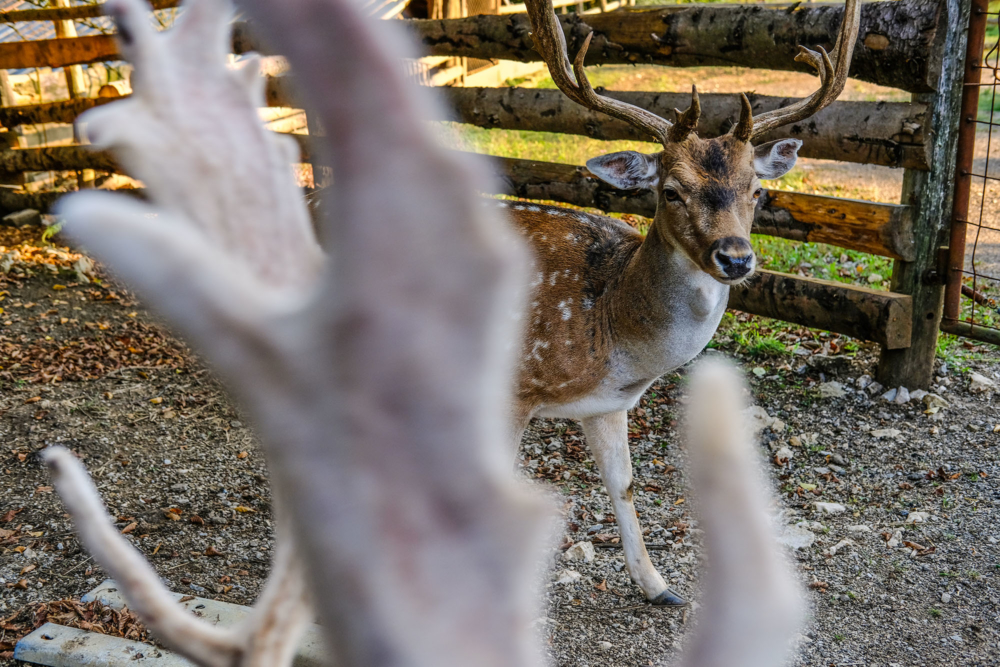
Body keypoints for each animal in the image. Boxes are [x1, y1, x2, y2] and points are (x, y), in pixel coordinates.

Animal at [506, 0, 861, 606]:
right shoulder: (513, 389)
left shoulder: (606, 404)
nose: (736, 257)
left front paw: (657, 586)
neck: (607, 329)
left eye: (756, 190)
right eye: (671, 191)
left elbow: (623, 484)